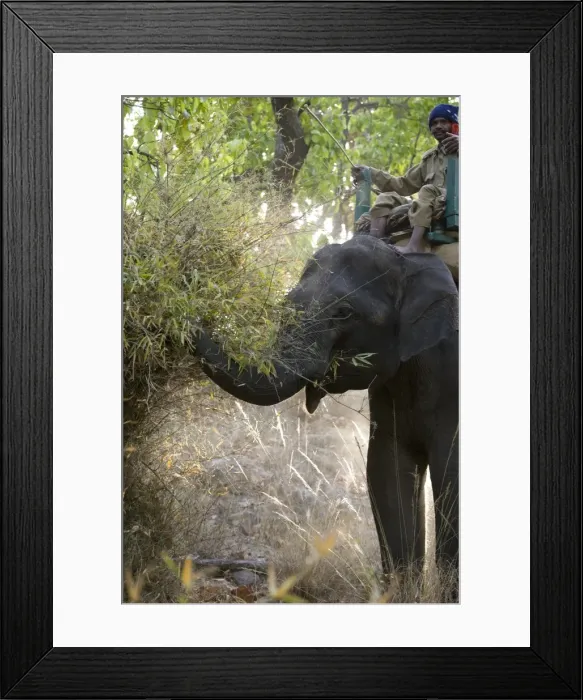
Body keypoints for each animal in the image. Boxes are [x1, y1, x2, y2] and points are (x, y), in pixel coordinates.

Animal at [194, 234, 459, 593]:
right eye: (286, 303)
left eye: (344, 312)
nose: (192, 310)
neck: (408, 259)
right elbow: (385, 469)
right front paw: (402, 594)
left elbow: (452, 472)